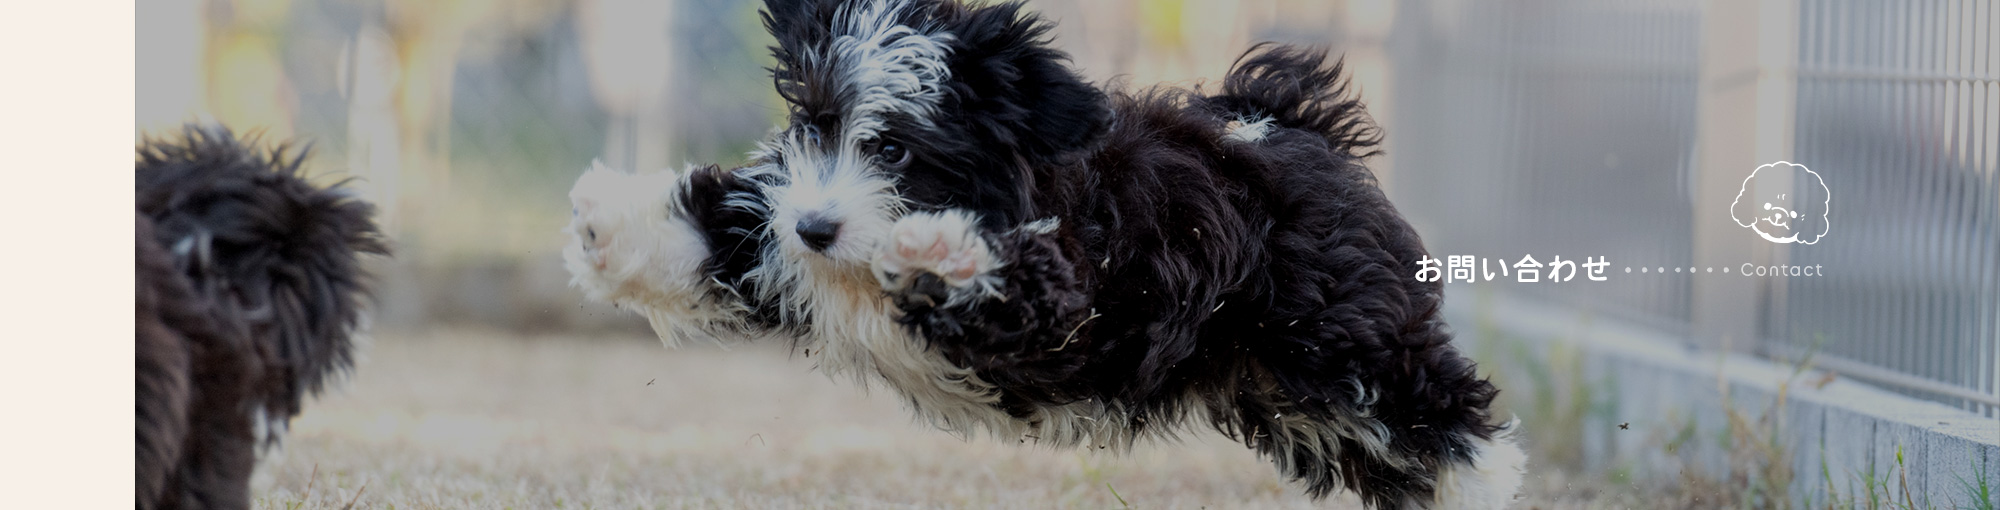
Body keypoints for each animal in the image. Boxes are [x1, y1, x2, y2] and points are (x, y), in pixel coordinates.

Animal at [564, 0, 1528, 506]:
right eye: (818, 124)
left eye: (898, 150)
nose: (817, 230)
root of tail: (1290, 126)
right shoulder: (779, 235)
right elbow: (719, 228)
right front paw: (608, 227)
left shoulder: (1068, 296)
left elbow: (1006, 279)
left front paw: (936, 247)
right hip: (1284, 393)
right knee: (1386, 455)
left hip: (1346, 339)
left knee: (1440, 416)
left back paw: (1481, 488)